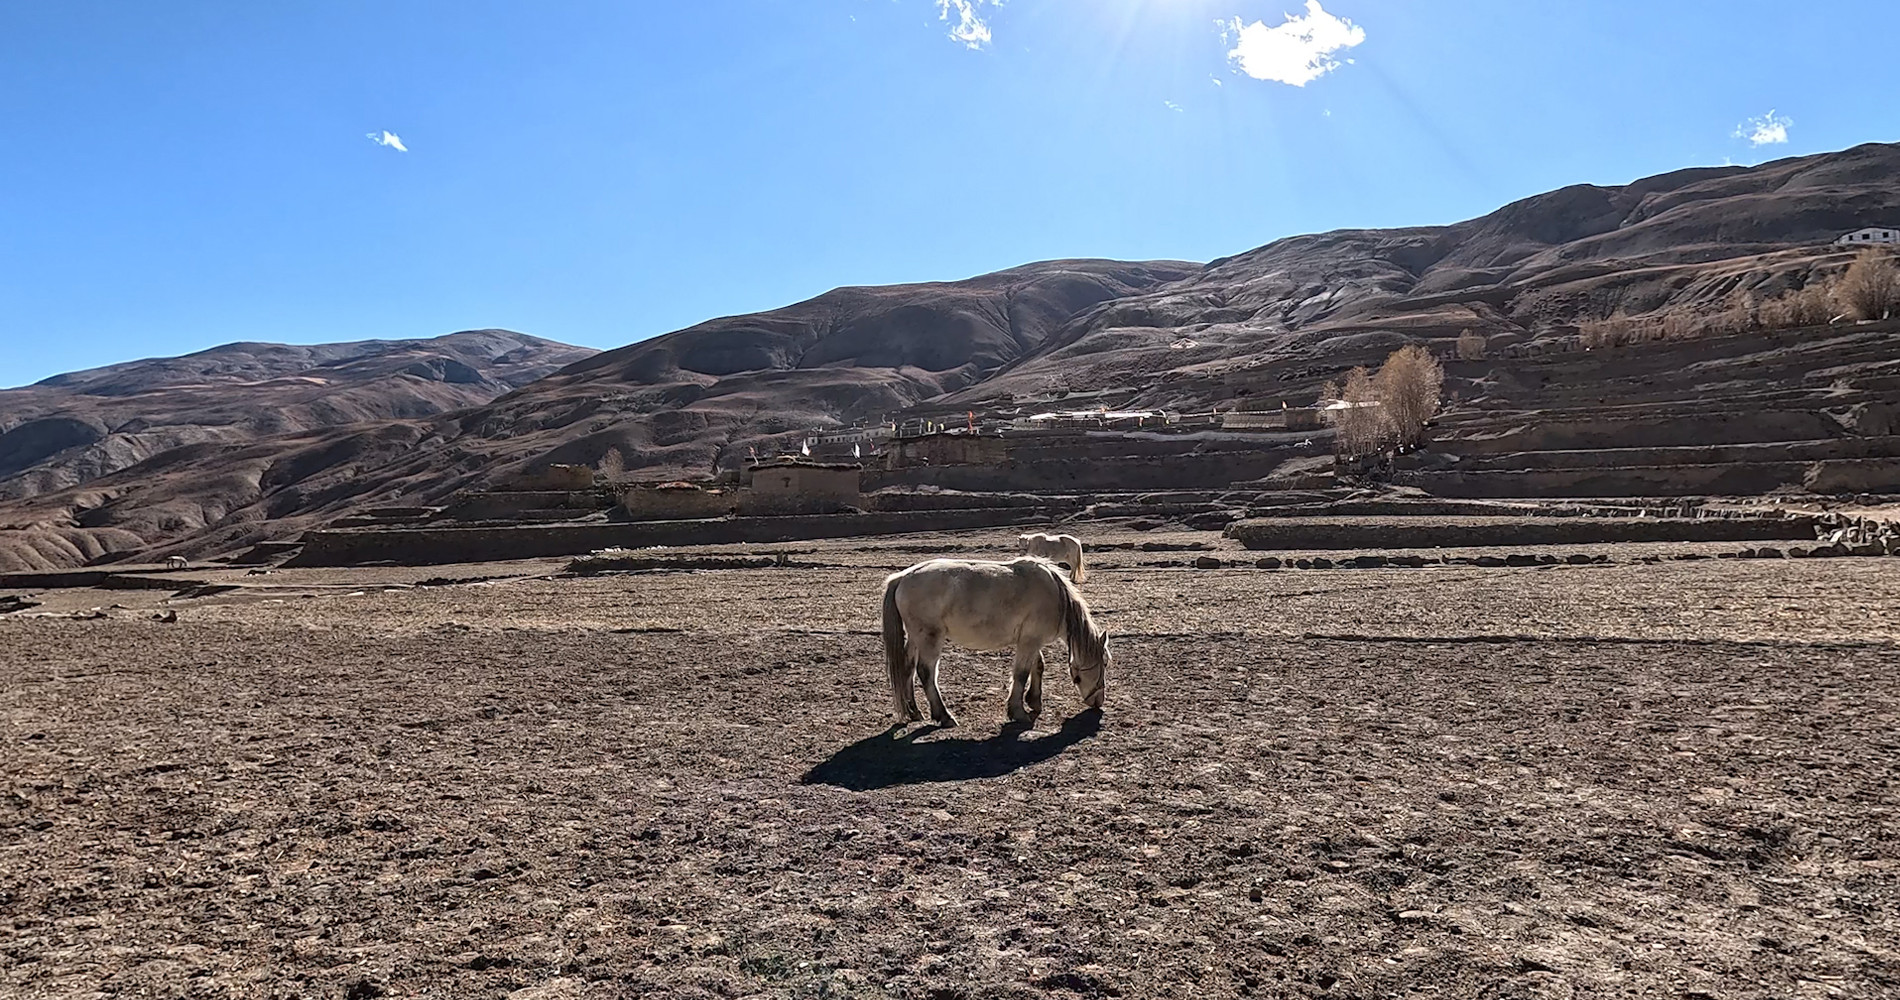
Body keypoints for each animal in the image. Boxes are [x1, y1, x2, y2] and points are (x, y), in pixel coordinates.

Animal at [877, 555, 1109, 730]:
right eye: (1105, 663)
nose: (1098, 701)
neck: (1056, 596)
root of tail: (902, 577)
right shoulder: (1029, 642)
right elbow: (1021, 674)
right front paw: (1018, 711)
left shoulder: (1031, 641)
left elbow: (1038, 666)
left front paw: (1034, 701)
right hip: (929, 638)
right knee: (926, 672)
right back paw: (944, 716)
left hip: (915, 638)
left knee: (907, 668)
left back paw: (914, 712)